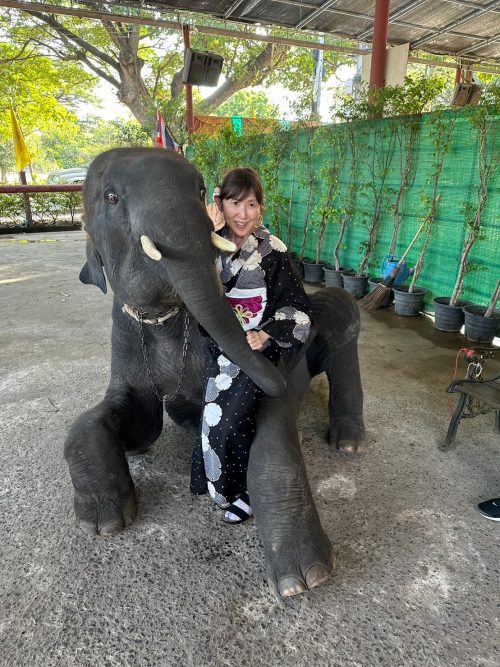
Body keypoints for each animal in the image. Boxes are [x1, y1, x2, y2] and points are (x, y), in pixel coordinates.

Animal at [65, 147, 366, 598]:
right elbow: (132, 422)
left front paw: (304, 577)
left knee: (344, 315)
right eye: (111, 198)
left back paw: (348, 442)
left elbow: (270, 433)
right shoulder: (125, 338)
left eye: (203, 189)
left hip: (334, 316)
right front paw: (104, 522)